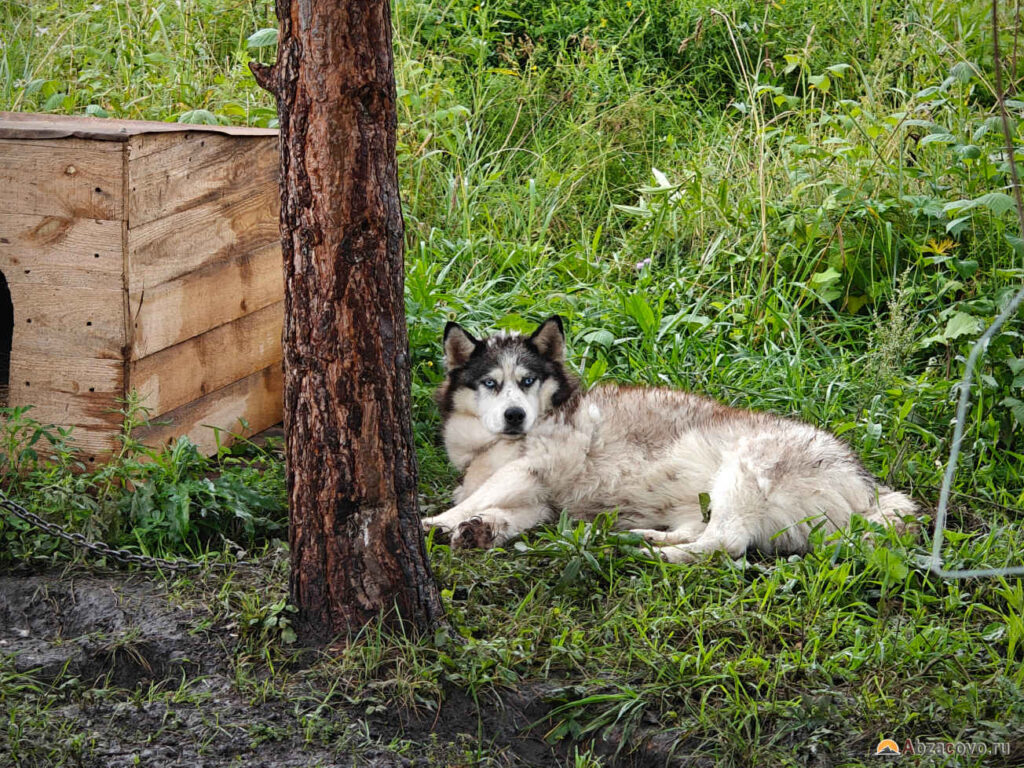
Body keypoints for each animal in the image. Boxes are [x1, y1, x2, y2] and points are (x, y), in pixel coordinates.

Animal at [419, 315, 917, 561]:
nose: (515, 416)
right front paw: (479, 530)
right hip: (707, 500)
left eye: (526, 381)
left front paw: (433, 523)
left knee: (725, 546)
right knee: (702, 533)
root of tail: (870, 487)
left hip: (742, 472)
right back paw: (640, 539)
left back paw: (653, 556)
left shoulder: (528, 470)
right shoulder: (538, 498)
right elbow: (499, 511)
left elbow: (473, 498)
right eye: (490, 383)